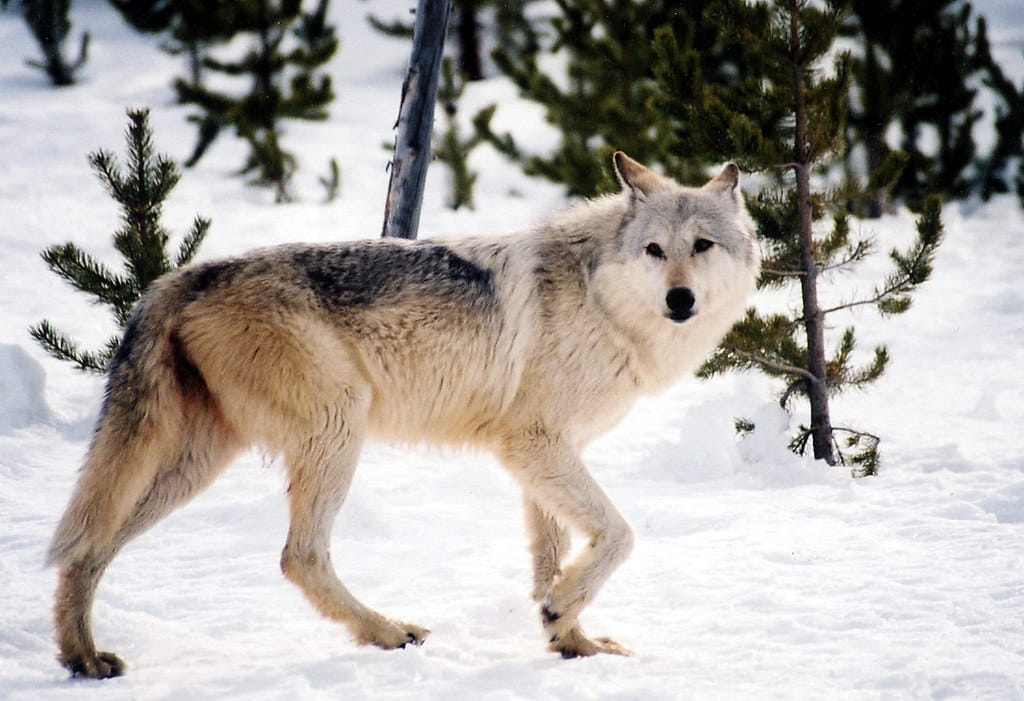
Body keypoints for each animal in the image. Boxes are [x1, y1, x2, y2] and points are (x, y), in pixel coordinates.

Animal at [47, 152, 760, 678]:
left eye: (702, 245)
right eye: (654, 250)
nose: (680, 299)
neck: (600, 299)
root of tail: (183, 276)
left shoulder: (546, 455)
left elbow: (551, 560)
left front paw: (570, 640)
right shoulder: (532, 444)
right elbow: (618, 535)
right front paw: (563, 615)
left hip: (195, 463)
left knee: (87, 548)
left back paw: (82, 658)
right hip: (337, 428)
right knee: (298, 557)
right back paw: (386, 632)